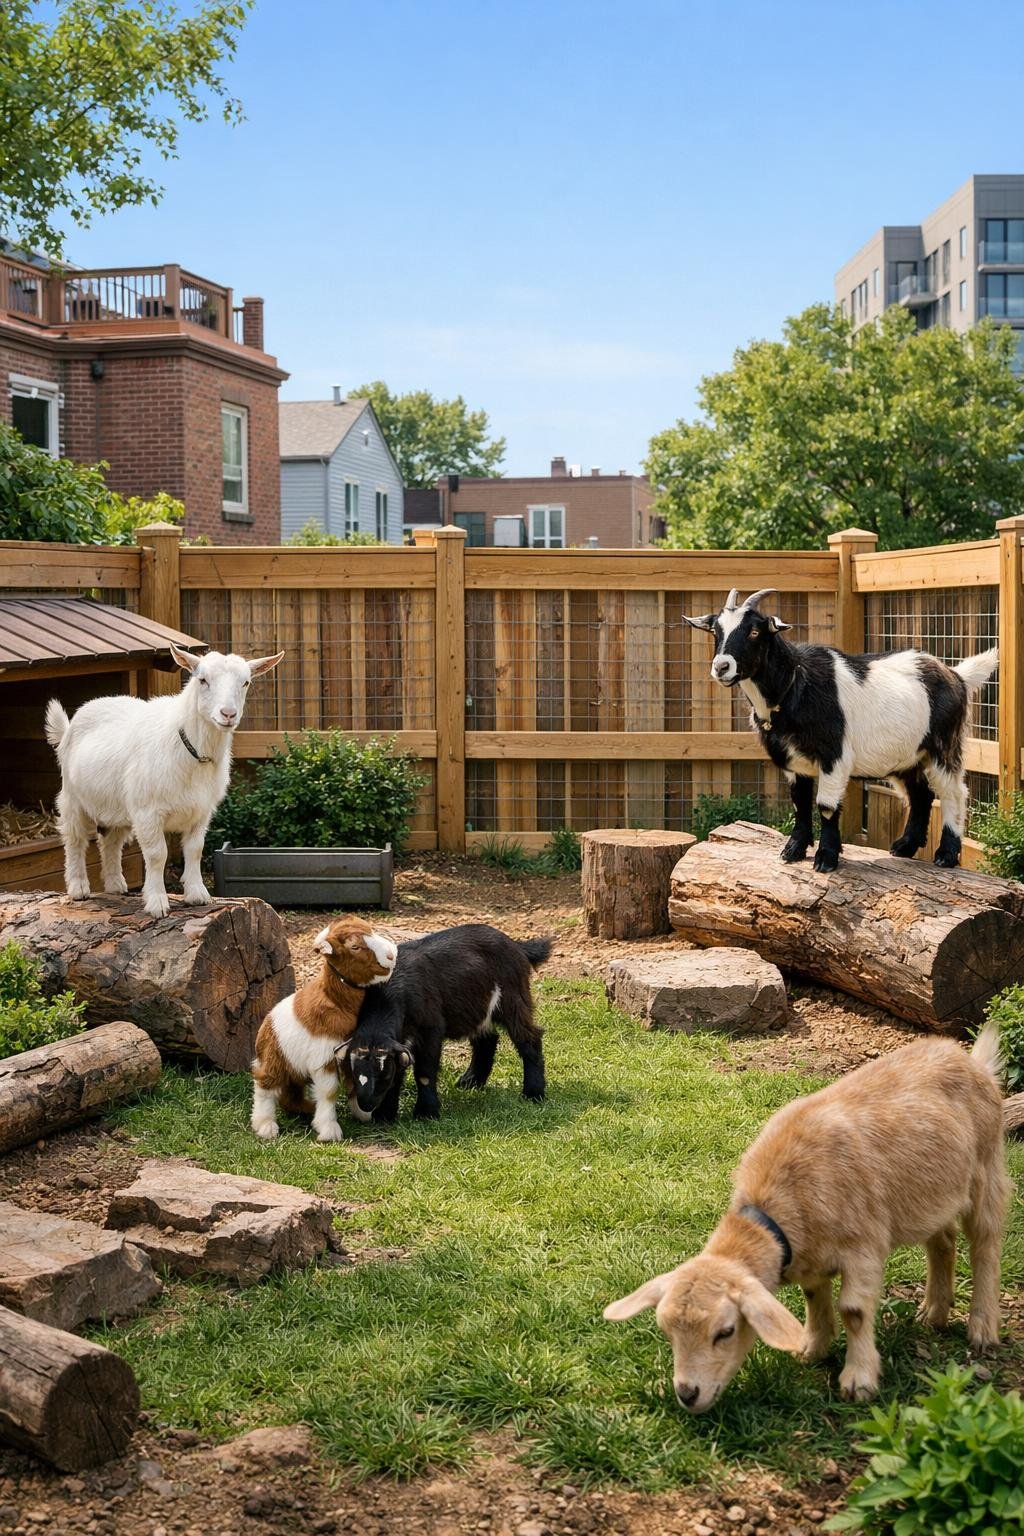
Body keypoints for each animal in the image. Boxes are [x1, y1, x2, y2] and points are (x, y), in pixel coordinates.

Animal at [45, 643, 283, 918]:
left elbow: (195, 850)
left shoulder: (201, 812)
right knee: (75, 839)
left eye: (245, 682)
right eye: (202, 680)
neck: (191, 751)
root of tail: (70, 726)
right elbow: (158, 854)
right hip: (73, 797)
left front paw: (197, 895)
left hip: (116, 805)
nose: (228, 714)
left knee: (111, 842)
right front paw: (157, 902)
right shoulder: (147, 811)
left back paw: (116, 885)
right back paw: (79, 888)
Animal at [250, 915, 397, 1142]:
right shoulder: (324, 1056)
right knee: (264, 1085)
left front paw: (362, 1113)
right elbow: (329, 1092)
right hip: (273, 1058)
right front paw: (329, 1130)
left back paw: (307, 1108)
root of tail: (266, 1022)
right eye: (355, 947)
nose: (391, 955)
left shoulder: (351, 1051)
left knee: (289, 1094)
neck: (336, 1001)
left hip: (293, 1069)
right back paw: (265, 1126)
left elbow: (354, 1082)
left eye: (371, 930)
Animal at [338, 924, 552, 1121]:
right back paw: (470, 1082)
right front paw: (384, 1116)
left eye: (384, 1074)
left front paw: (426, 1113)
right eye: (354, 1073)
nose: (366, 1104)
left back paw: (533, 1093)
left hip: (512, 996)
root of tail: (516, 945)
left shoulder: (431, 1028)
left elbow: (424, 1071)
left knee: (529, 1037)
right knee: (486, 1039)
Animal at [605, 1026, 1010, 1410]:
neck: (779, 1206)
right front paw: (812, 1347)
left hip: (987, 1169)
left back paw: (982, 1329)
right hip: (933, 1193)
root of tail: (969, 1059)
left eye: (725, 1331)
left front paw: (858, 1379)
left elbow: (854, 1311)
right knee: (943, 1241)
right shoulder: (813, 1255)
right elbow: (814, 1294)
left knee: (986, 1245)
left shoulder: (864, 1246)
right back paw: (933, 1313)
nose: (688, 1394)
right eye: (667, 1332)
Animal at [684, 587, 998, 872]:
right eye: (715, 632)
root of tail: (956, 676)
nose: (721, 667)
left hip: (944, 743)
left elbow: (826, 805)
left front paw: (826, 859)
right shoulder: (794, 762)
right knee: (920, 793)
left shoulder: (834, 755)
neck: (795, 685)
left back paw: (946, 854)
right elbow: (800, 803)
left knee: (954, 792)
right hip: (907, 755)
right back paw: (905, 846)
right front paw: (793, 851)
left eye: (754, 632)